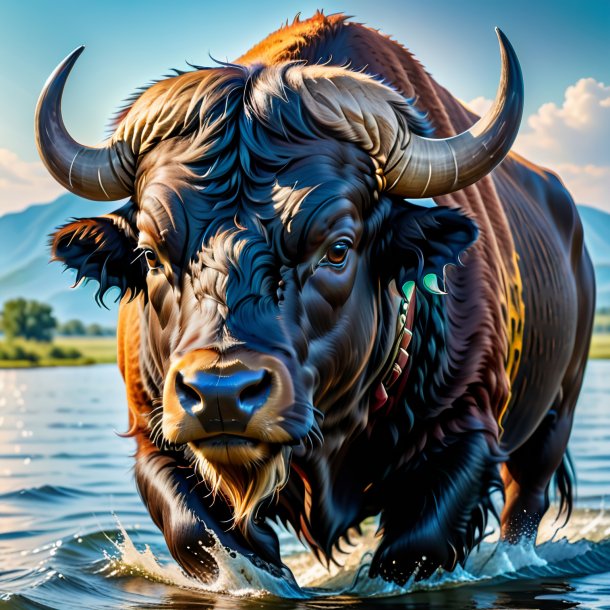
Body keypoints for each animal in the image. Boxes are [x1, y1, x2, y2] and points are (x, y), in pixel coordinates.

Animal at [35, 13, 592, 584]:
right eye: (150, 254)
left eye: (338, 248)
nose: (220, 394)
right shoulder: (154, 435)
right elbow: (202, 536)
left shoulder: (467, 431)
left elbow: (413, 548)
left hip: (555, 417)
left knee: (525, 504)